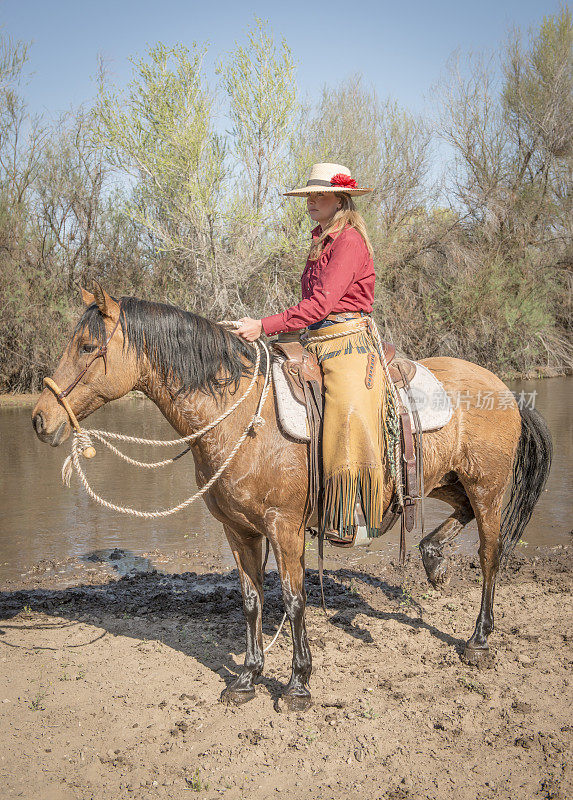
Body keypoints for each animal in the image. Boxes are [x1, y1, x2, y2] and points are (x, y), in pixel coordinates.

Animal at [30, 284, 548, 708]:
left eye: (88, 346)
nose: (39, 420)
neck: (239, 419)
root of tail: (504, 389)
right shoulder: (238, 530)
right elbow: (251, 599)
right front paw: (247, 677)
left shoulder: (285, 528)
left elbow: (294, 599)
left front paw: (299, 684)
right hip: (447, 481)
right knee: (457, 521)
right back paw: (434, 559)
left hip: (488, 490)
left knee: (489, 555)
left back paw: (479, 638)